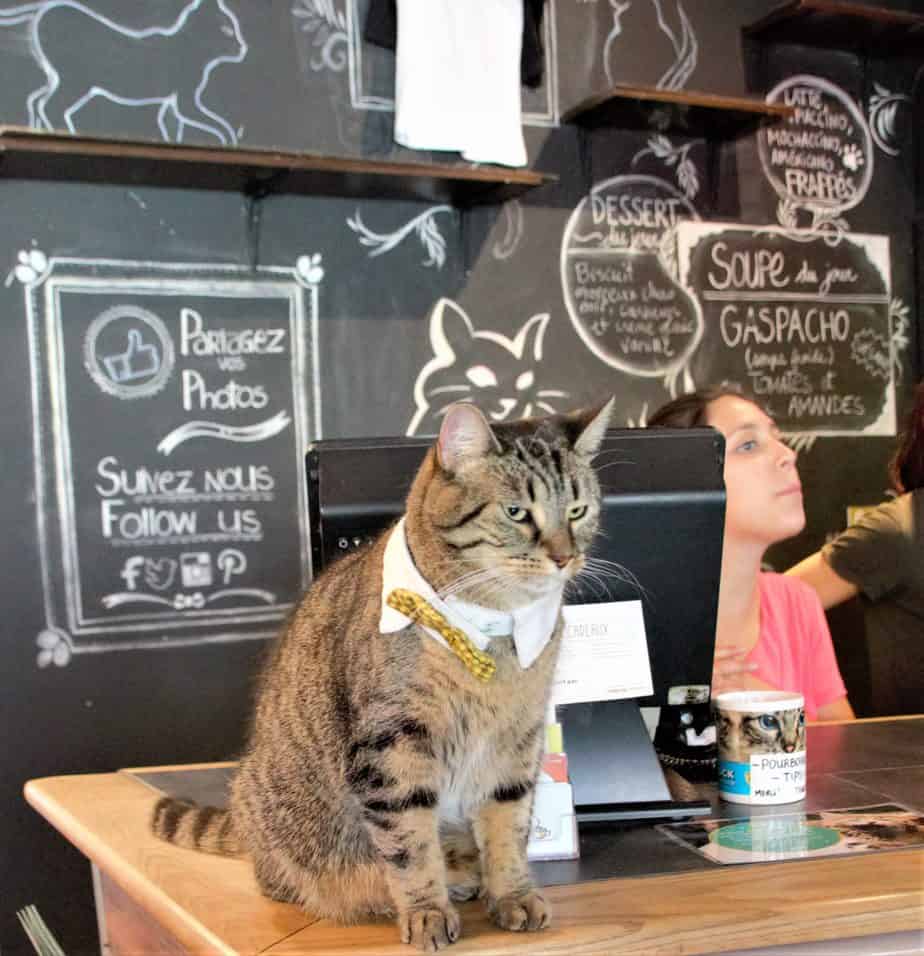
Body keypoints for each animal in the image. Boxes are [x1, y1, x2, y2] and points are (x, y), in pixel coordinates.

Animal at [150, 398, 612, 948]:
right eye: (516, 512)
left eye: (578, 511)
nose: (565, 557)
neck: (494, 631)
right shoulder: (393, 746)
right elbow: (410, 844)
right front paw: (426, 910)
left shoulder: (517, 741)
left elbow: (508, 826)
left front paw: (513, 894)